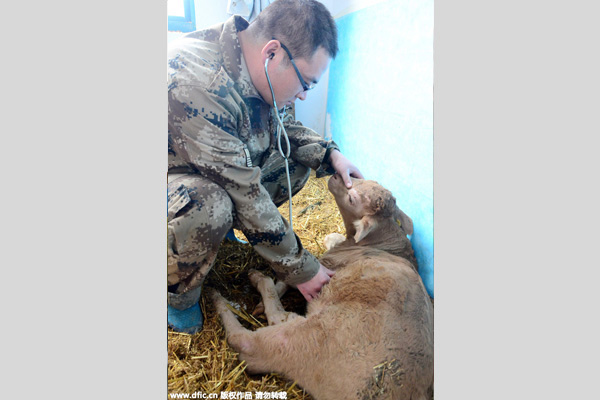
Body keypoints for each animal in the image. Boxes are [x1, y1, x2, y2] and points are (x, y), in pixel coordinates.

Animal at [209, 177, 434, 398]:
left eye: (352, 199)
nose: (335, 175)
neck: (381, 242)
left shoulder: (328, 264)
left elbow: (291, 278)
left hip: (308, 338)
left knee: (250, 336)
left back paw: (225, 294)